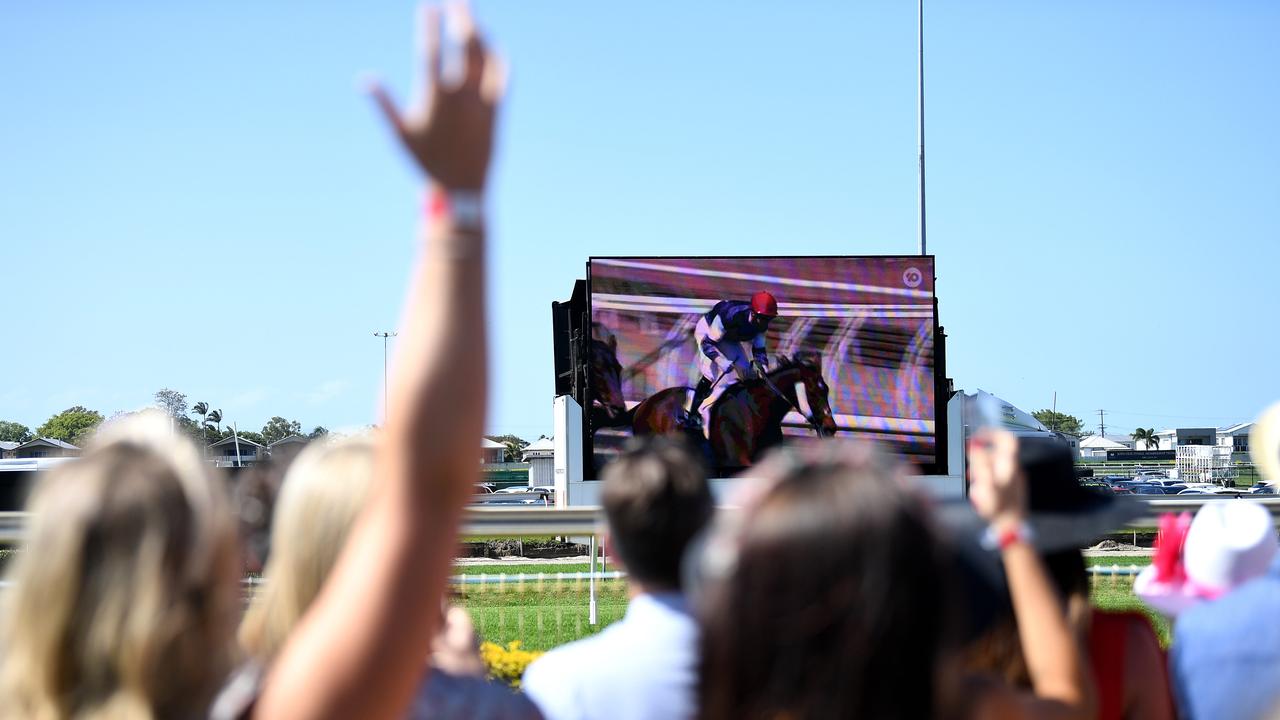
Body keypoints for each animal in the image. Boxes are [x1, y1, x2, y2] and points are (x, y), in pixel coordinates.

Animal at [629, 353, 839, 471]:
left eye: (827, 389)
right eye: (813, 392)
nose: (831, 427)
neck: (757, 413)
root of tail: (645, 403)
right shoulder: (736, 461)